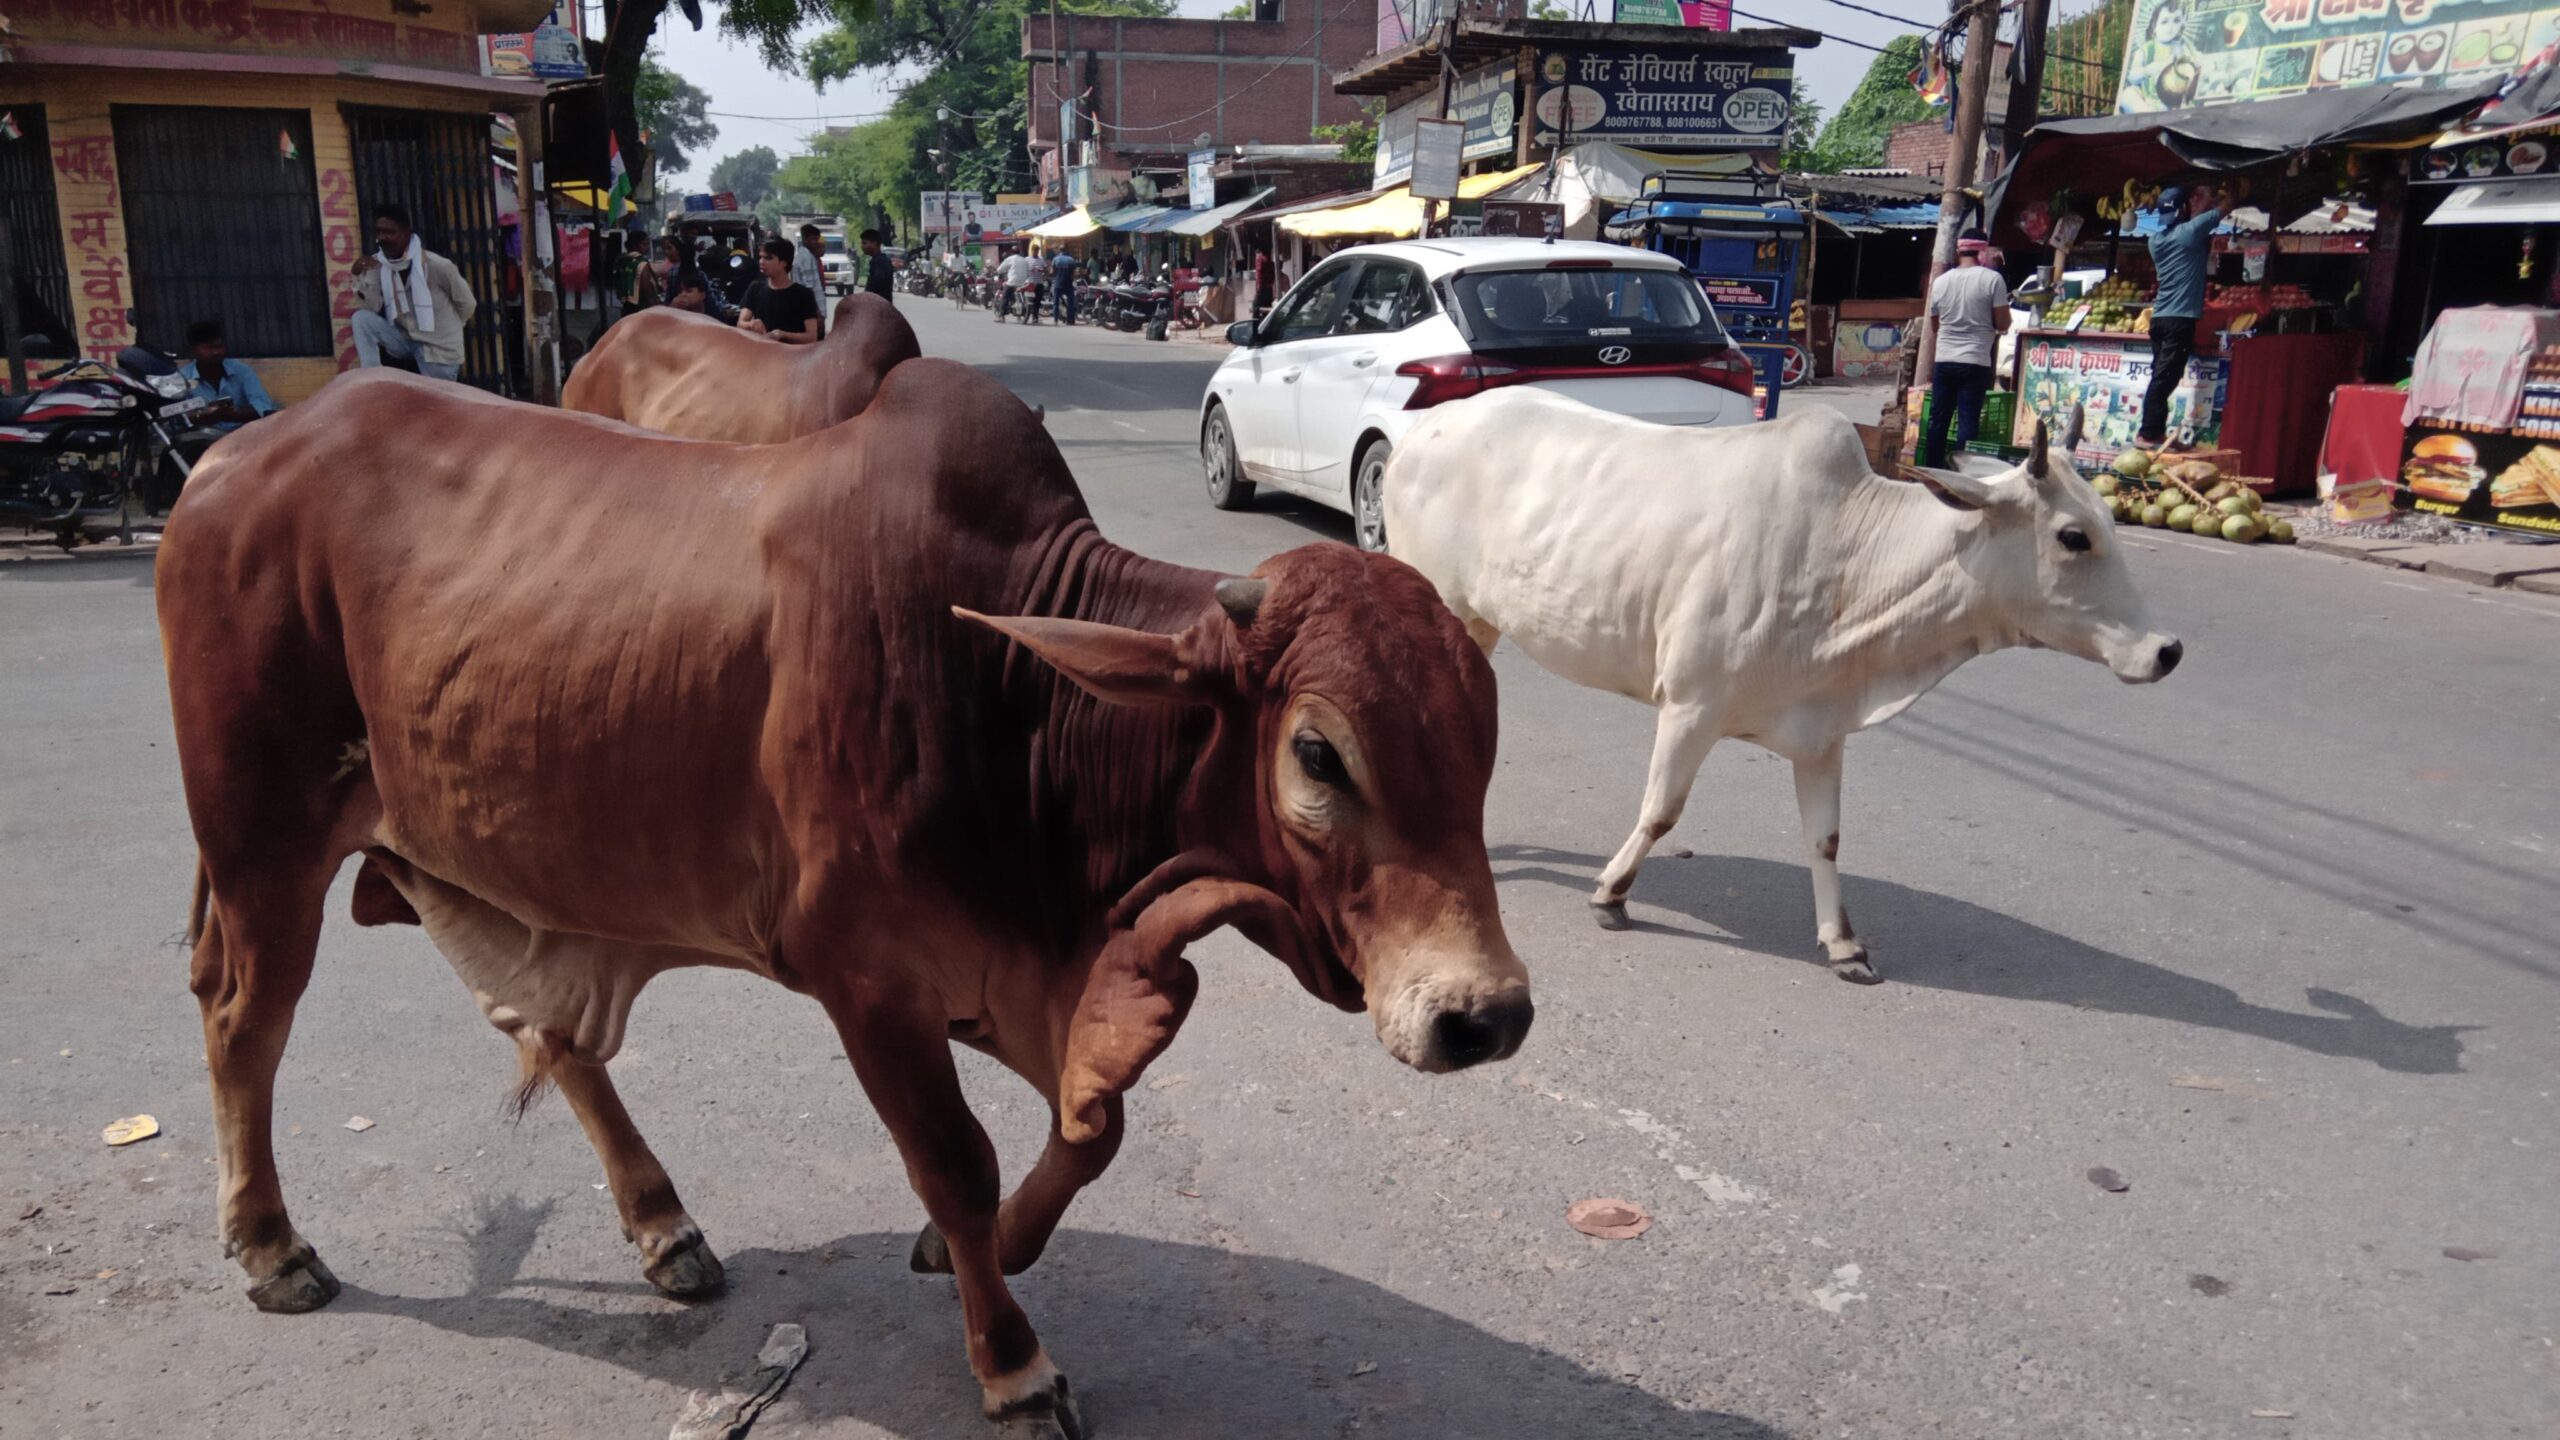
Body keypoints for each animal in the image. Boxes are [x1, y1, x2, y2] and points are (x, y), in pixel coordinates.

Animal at [160, 361, 1525, 1434]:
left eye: (1483, 742)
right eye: (1318, 755)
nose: (1486, 1015)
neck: (1010, 694)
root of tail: (231, 454)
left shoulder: (1016, 965)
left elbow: (1091, 1132)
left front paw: (994, 1250)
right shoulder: (865, 975)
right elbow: (957, 1161)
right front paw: (1013, 1364)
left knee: (550, 1031)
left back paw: (665, 1229)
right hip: (262, 840)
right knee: (241, 1018)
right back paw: (271, 1245)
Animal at [1382, 386, 2181, 978]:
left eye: (2110, 521)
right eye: (2072, 536)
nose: (2167, 650)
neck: (1847, 558)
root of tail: (1421, 428)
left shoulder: (1822, 731)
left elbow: (1824, 839)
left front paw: (1844, 944)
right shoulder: (1691, 705)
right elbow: (1661, 812)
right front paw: (1610, 894)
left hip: (1479, 621)